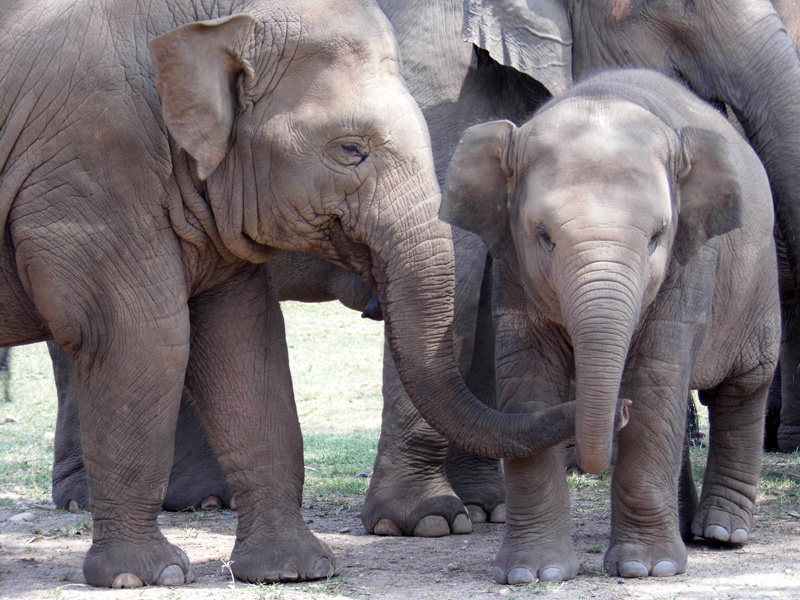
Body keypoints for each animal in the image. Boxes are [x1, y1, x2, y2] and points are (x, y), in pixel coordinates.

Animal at [0, 0, 577, 587]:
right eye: (351, 150)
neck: (212, 24)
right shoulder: (94, 167)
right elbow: (139, 335)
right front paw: (144, 576)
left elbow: (246, 342)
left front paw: (293, 571)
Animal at [441, 68, 781, 583]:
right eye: (543, 236)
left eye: (658, 236)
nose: (618, 409)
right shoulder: (512, 266)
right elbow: (529, 381)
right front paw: (532, 573)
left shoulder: (692, 260)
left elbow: (657, 379)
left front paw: (648, 568)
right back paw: (687, 529)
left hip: (759, 284)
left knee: (741, 389)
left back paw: (722, 533)